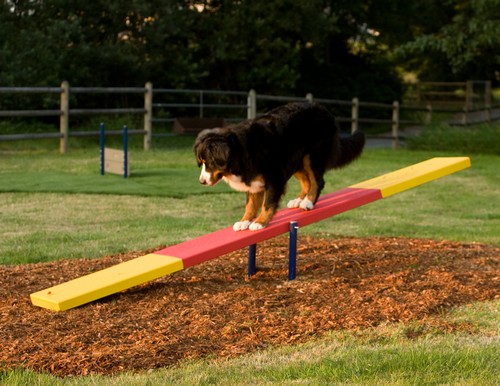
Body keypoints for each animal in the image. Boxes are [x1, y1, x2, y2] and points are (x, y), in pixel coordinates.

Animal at [194, 101, 364, 231]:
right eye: (201, 162)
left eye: (208, 162)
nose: (201, 181)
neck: (241, 150)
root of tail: (325, 110)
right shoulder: (253, 180)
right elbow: (250, 204)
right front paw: (244, 221)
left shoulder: (274, 177)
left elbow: (268, 203)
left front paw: (260, 222)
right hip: (295, 160)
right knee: (307, 181)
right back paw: (298, 200)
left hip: (312, 156)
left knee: (317, 181)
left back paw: (308, 202)